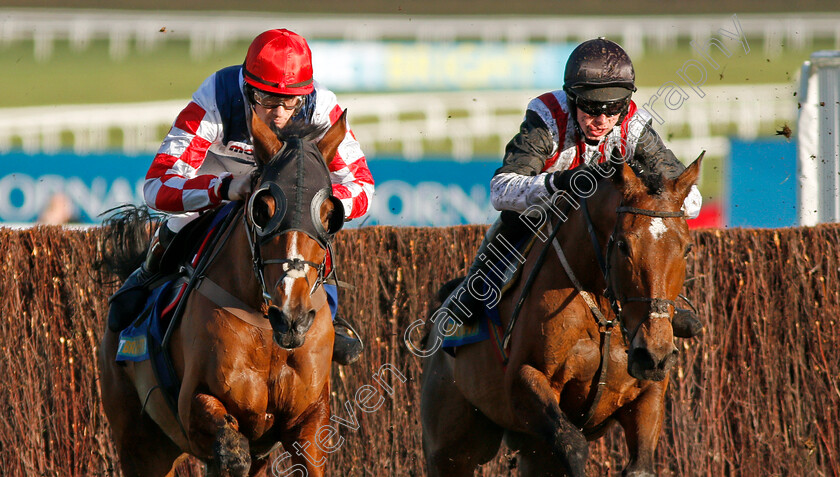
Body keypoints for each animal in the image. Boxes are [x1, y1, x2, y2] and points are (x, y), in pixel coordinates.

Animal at [98, 112, 348, 476]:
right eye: (262, 209)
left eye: (330, 214)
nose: (292, 318)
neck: (266, 327)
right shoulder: (194, 408)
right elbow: (231, 450)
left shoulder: (309, 420)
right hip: (140, 443)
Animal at [420, 155, 704, 472]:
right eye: (623, 245)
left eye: (686, 248)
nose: (653, 354)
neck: (603, 313)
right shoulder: (525, 381)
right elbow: (572, 446)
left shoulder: (648, 394)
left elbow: (640, 465)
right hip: (450, 446)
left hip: (529, 448)